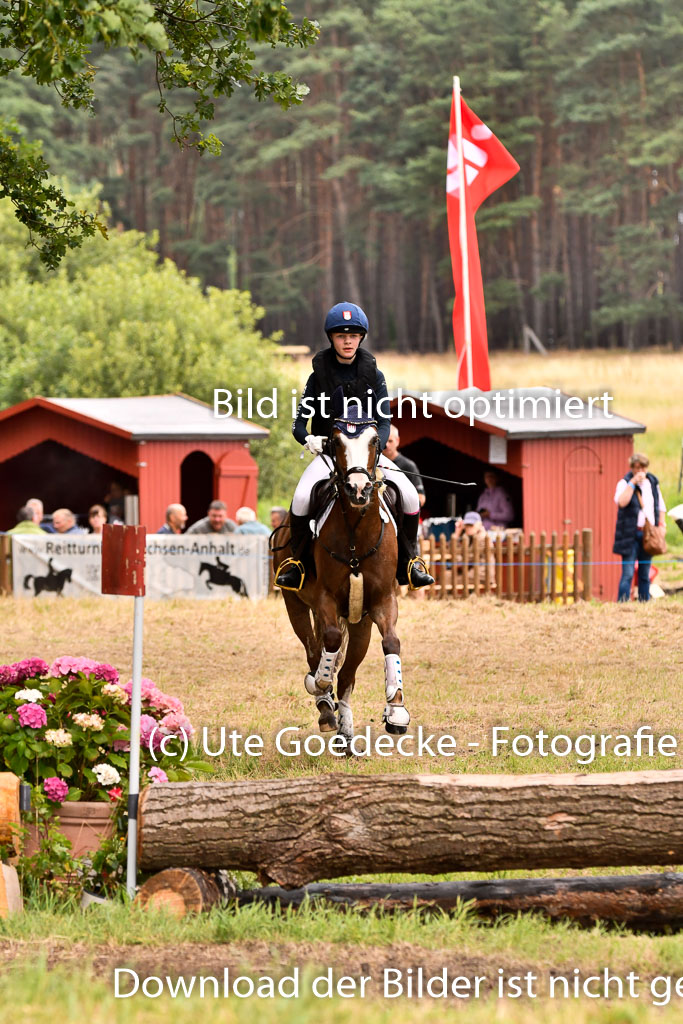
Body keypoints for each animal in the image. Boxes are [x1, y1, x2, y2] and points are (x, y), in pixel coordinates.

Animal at [274, 415, 411, 745]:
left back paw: (346, 731)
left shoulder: (383, 600)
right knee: (314, 650)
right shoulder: (325, 599)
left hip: (360, 623)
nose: (358, 490)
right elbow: (331, 643)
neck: (356, 536)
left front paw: (396, 709)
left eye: (375, 441)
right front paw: (321, 686)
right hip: (295, 604)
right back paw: (325, 705)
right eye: (335, 441)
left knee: (348, 675)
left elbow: (392, 642)